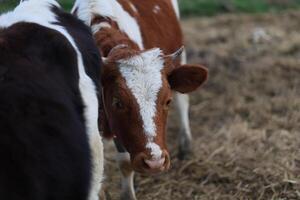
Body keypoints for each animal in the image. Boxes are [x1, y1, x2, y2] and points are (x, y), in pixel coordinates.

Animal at [73, 0, 206, 198]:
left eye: (167, 101)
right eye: (118, 103)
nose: (155, 162)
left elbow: (125, 163)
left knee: (183, 102)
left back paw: (186, 145)